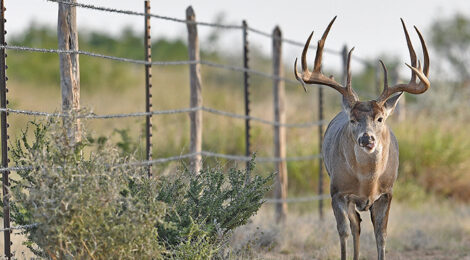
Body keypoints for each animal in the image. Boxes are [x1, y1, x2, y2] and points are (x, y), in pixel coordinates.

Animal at [294, 16, 430, 260]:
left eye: (380, 118)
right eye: (352, 120)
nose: (367, 139)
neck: (368, 182)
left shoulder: (387, 194)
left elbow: (381, 236)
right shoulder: (337, 192)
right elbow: (344, 232)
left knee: (360, 224)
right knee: (355, 225)